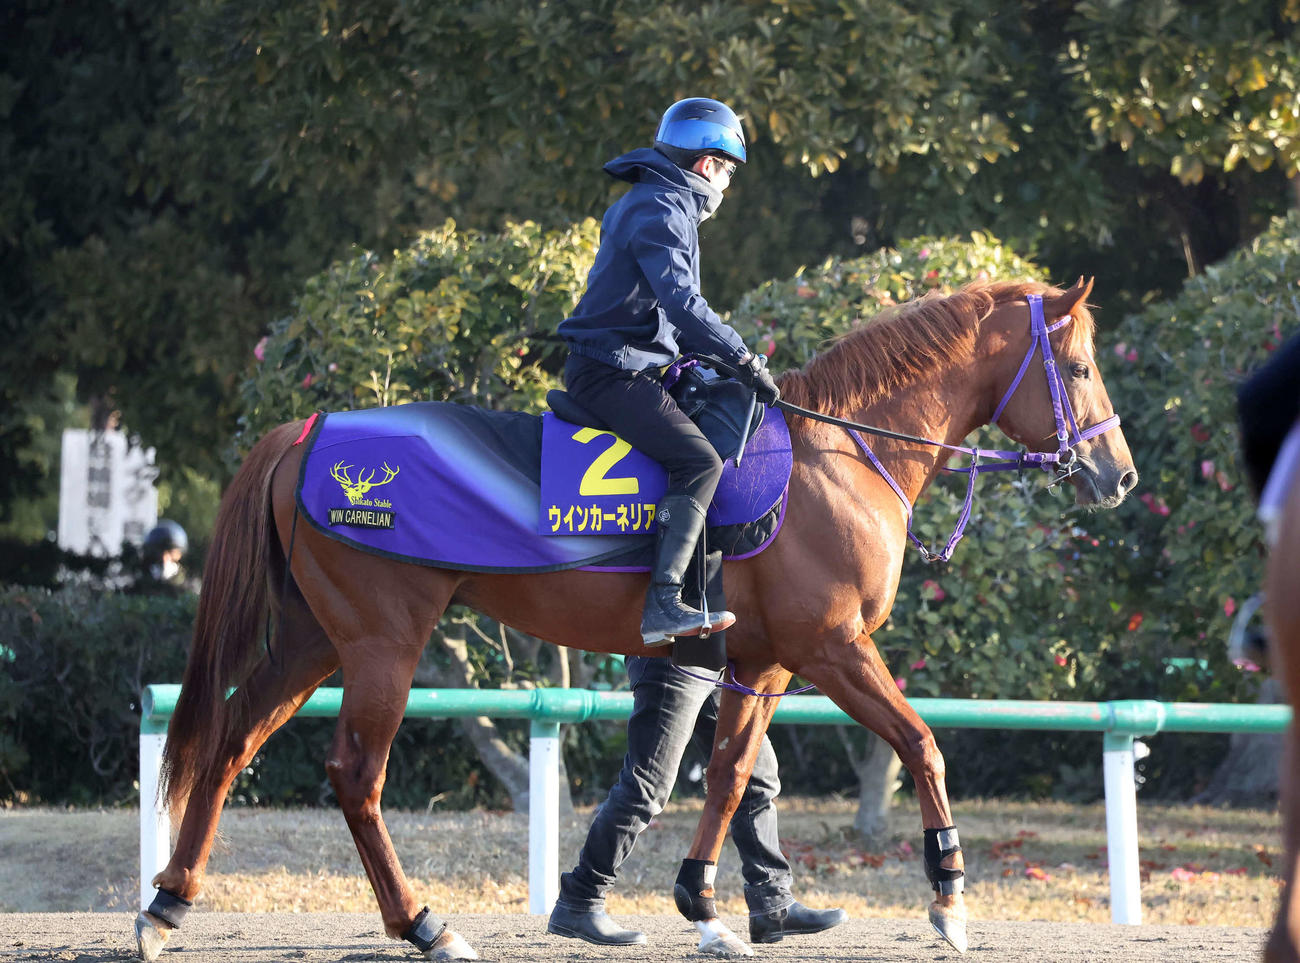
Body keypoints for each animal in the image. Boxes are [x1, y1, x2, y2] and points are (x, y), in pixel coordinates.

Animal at [135, 277, 1137, 961]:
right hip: (384, 643)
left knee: (231, 740)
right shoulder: (835, 648)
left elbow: (730, 775)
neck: (839, 450)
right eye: (1080, 367)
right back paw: (421, 922)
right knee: (355, 774)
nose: (1118, 474)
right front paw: (950, 894)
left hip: (315, 637)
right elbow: (922, 743)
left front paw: (704, 900)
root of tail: (306, 430)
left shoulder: (764, 662)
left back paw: (168, 902)